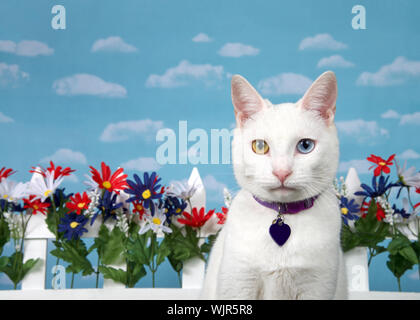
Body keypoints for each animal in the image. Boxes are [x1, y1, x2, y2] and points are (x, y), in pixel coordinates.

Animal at [202, 71, 346, 298]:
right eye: (260, 146)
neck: (283, 215)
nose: (282, 172)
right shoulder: (238, 284)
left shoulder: (317, 287)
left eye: (305, 145)